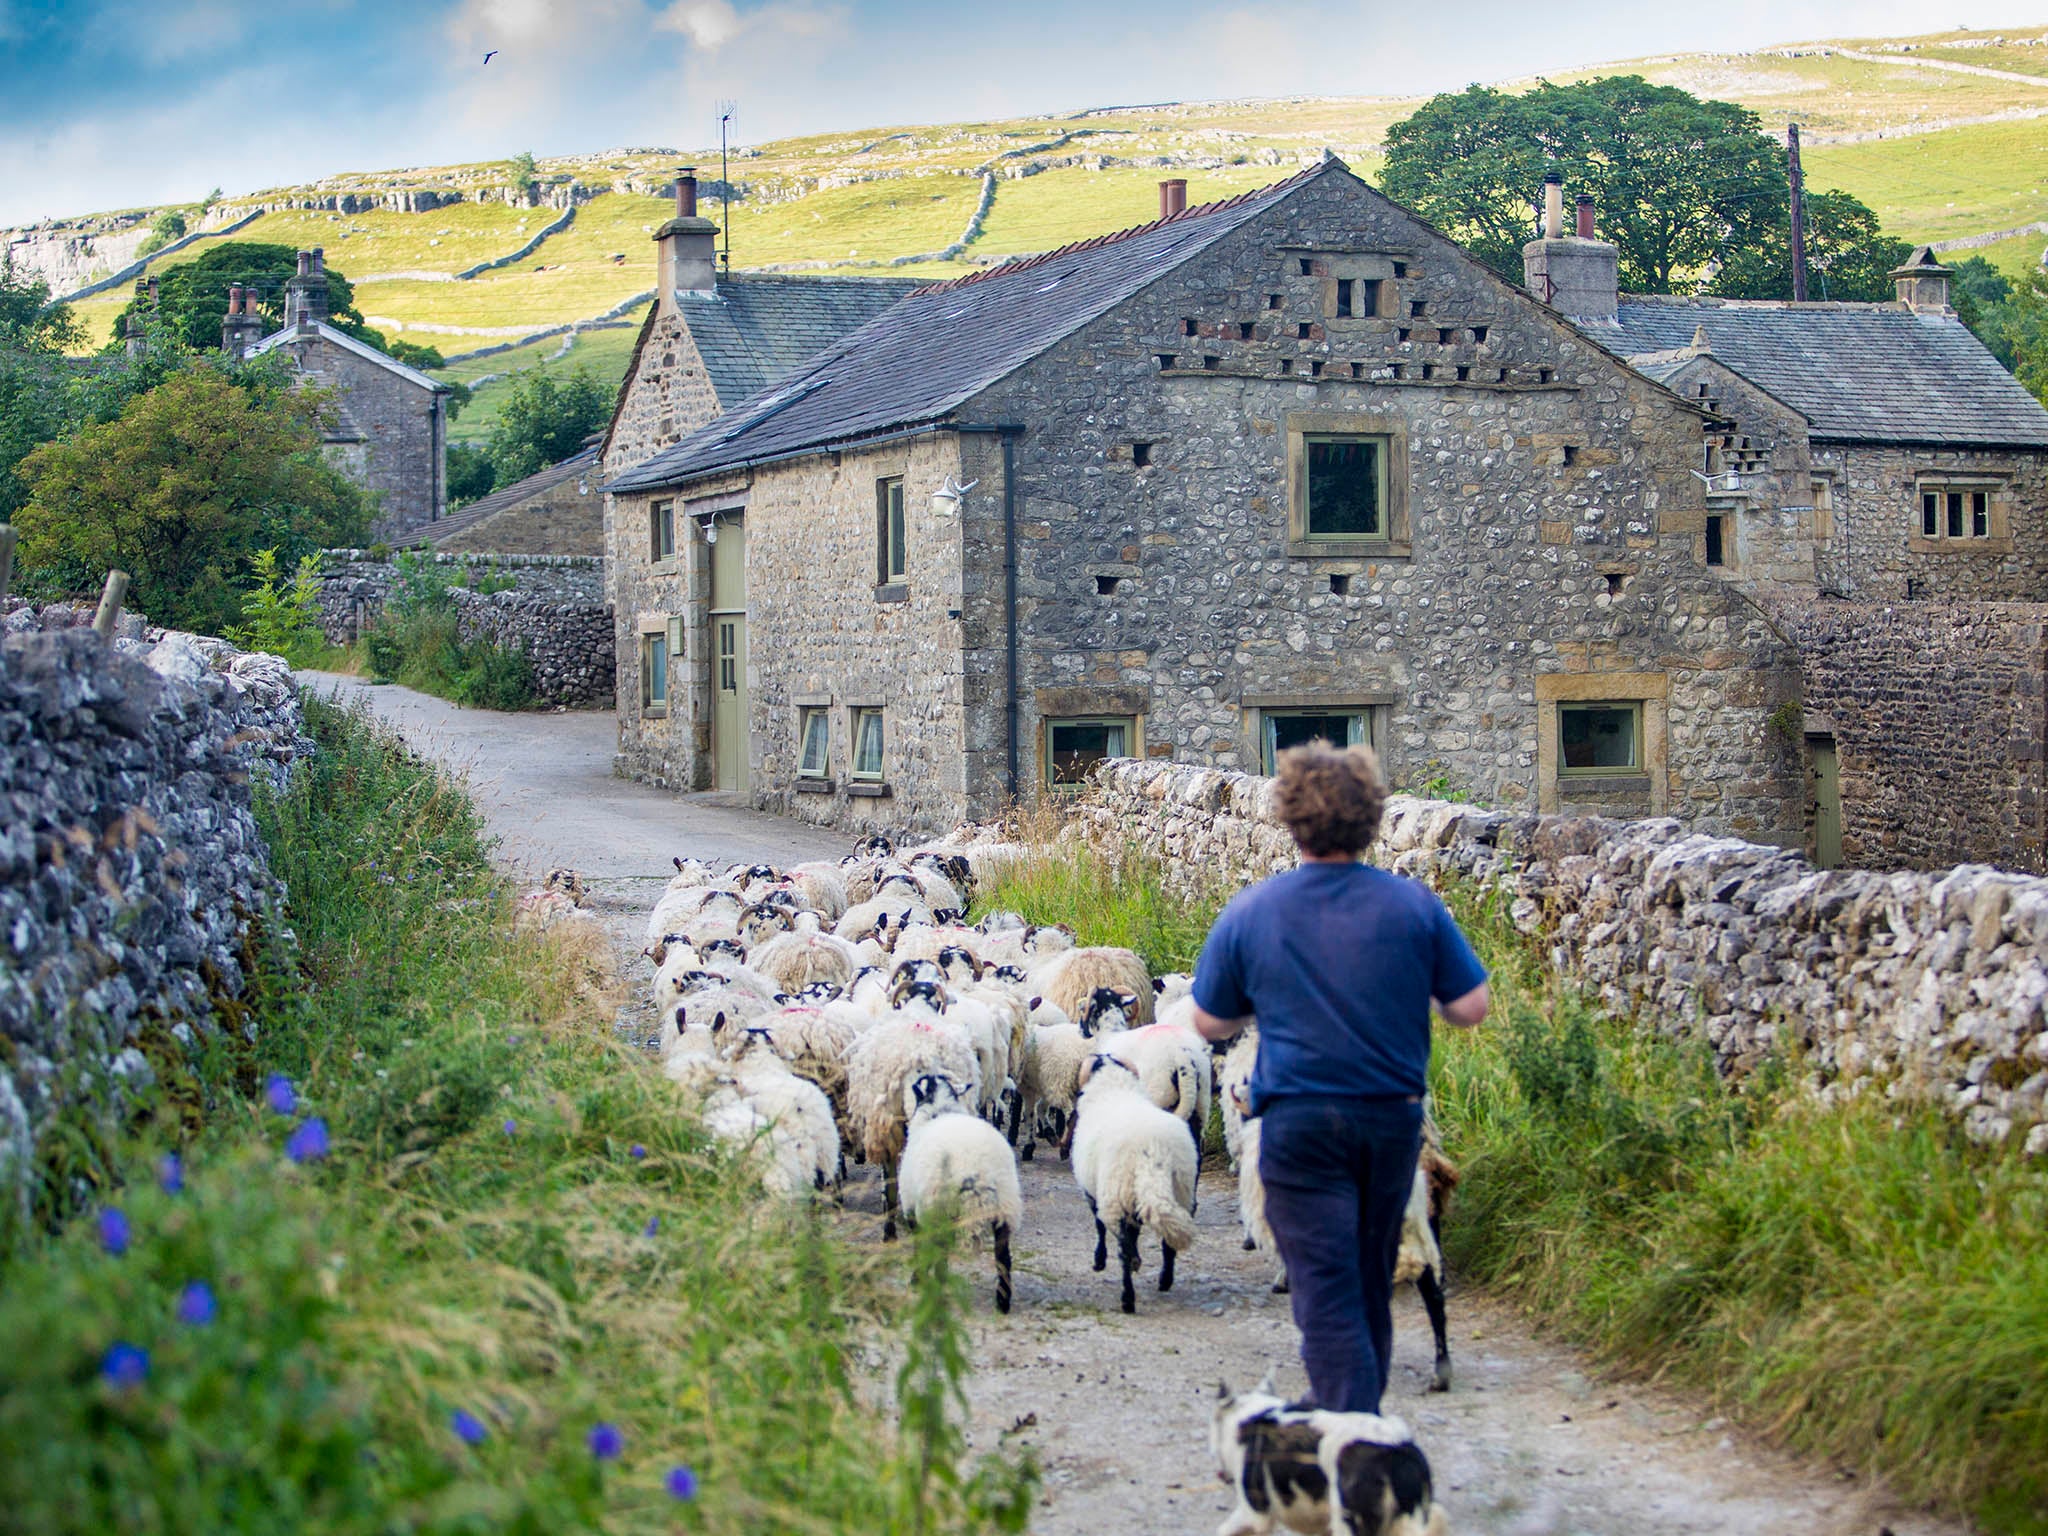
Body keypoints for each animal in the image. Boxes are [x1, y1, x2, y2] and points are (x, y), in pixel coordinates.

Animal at [1073, 1056, 1196, 1327]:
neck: (1114, 1087)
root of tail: (1153, 1149)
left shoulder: (1093, 1193)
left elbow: (1099, 1227)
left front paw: (1099, 1261)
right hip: (1180, 1191)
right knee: (1167, 1243)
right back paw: (1164, 1281)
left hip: (1115, 1195)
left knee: (1124, 1251)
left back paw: (1127, 1299)